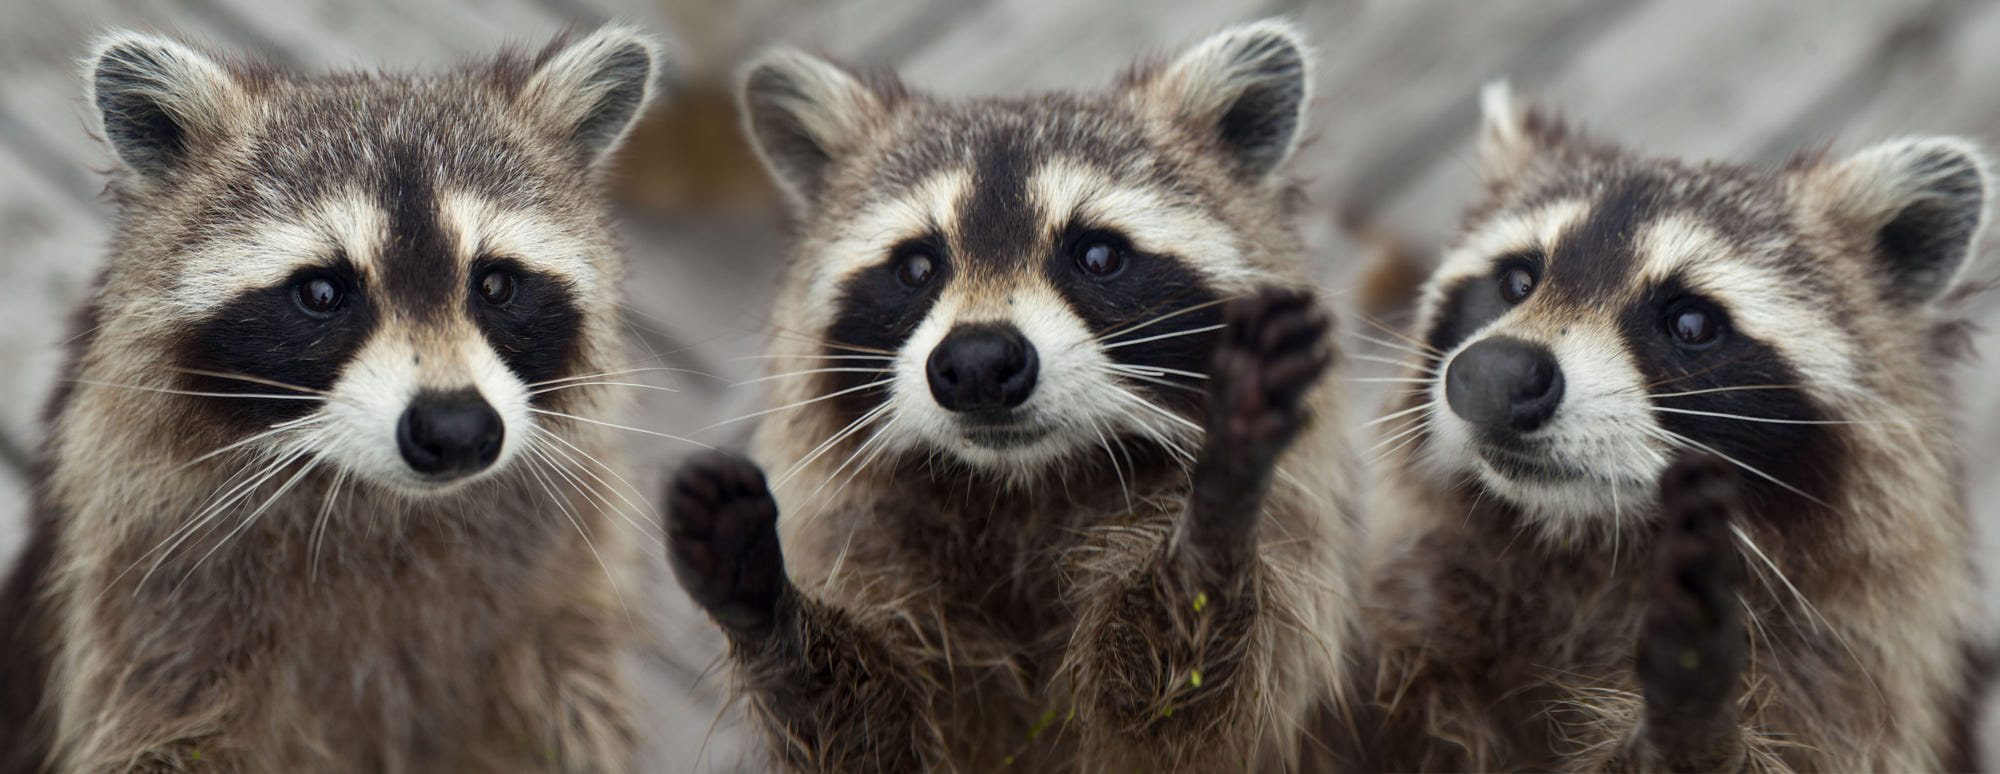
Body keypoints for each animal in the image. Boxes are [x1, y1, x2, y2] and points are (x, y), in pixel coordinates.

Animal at [0, 27, 672, 772]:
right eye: (322, 293)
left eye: (495, 284)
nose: (455, 428)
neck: (385, 506)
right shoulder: (145, 594)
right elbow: (170, 732)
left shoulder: (563, 578)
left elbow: (570, 692)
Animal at [664, 21, 1368, 772]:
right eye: (917, 266)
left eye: (1098, 256)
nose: (977, 363)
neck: (1020, 490)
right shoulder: (864, 536)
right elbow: (866, 732)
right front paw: (769, 613)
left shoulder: (1291, 554)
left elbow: (1180, 708)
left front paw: (1215, 514)